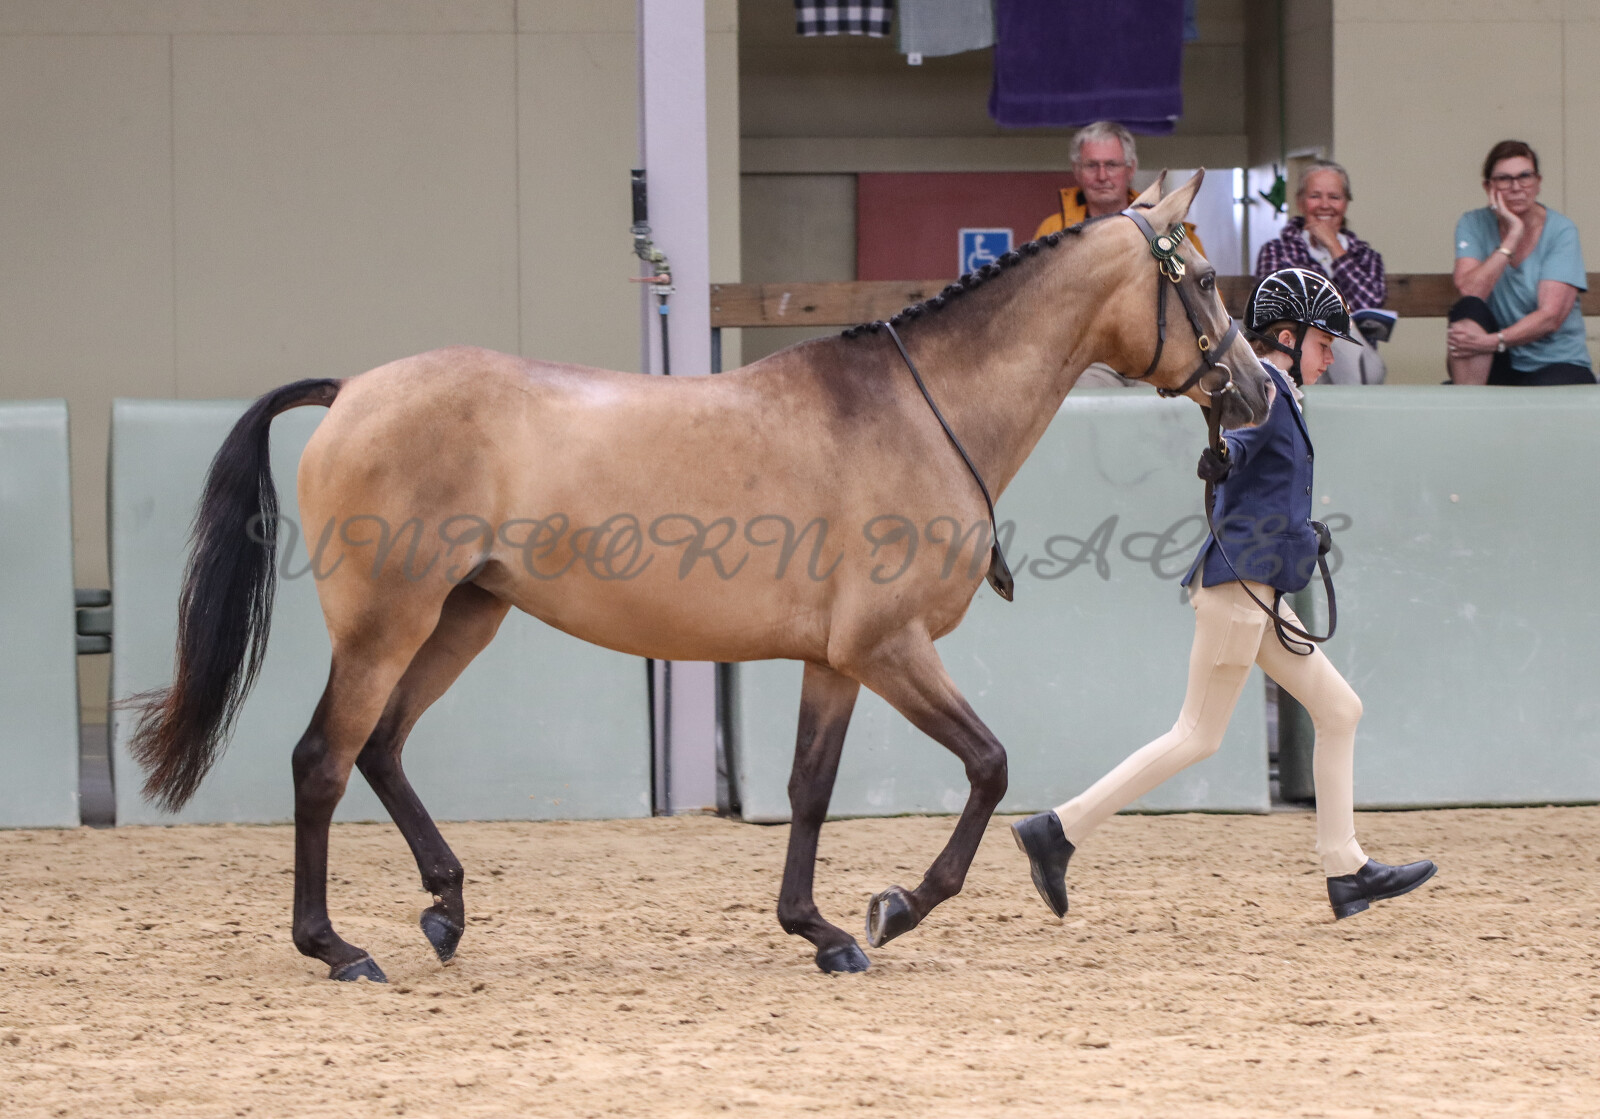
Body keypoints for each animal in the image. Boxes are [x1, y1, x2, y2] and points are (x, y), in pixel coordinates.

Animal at [128, 171, 1271, 981]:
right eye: (1197, 279)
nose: (1259, 390)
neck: (915, 412)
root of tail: (354, 388)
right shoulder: (890, 648)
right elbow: (989, 765)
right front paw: (898, 908)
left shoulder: (838, 662)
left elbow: (810, 788)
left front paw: (820, 929)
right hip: (386, 623)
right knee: (323, 760)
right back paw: (337, 948)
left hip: (463, 617)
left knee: (382, 750)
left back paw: (446, 908)